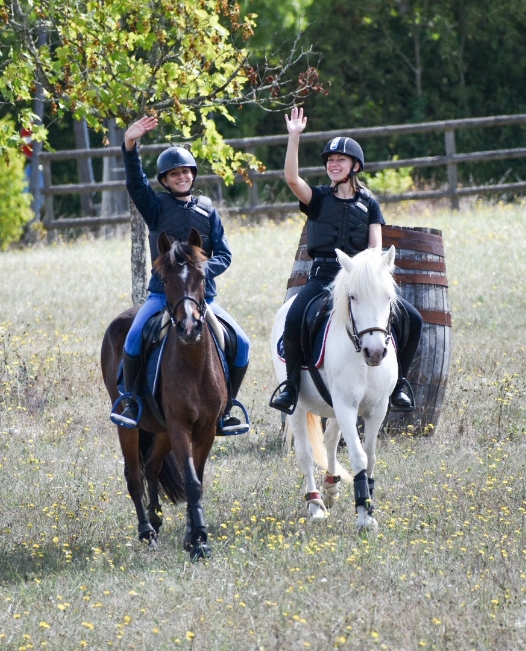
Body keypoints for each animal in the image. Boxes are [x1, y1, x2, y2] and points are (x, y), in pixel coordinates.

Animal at [102, 229, 228, 560]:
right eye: (166, 279)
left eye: (202, 276)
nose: (189, 327)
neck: (193, 362)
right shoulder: (180, 426)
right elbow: (192, 482)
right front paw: (199, 540)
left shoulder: (205, 429)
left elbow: (196, 479)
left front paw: (193, 537)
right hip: (130, 425)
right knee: (134, 475)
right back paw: (146, 531)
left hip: (160, 429)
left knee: (152, 466)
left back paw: (156, 520)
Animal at [274, 247, 398, 532]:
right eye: (353, 297)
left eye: (388, 296)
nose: (375, 352)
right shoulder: (345, 406)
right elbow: (359, 457)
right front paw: (364, 516)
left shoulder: (377, 409)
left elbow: (370, 457)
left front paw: (367, 506)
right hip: (300, 408)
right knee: (306, 454)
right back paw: (315, 505)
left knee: (330, 440)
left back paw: (330, 489)